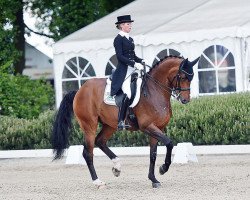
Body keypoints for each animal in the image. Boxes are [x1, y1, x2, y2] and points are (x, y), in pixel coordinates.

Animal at [52, 55, 199, 188]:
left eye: (191, 78)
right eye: (182, 77)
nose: (185, 100)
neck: (155, 91)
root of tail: (79, 90)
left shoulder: (158, 128)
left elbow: (153, 154)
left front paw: (153, 179)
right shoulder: (147, 126)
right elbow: (169, 143)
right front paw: (163, 168)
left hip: (109, 125)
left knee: (100, 141)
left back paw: (117, 167)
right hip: (89, 126)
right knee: (88, 153)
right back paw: (98, 182)